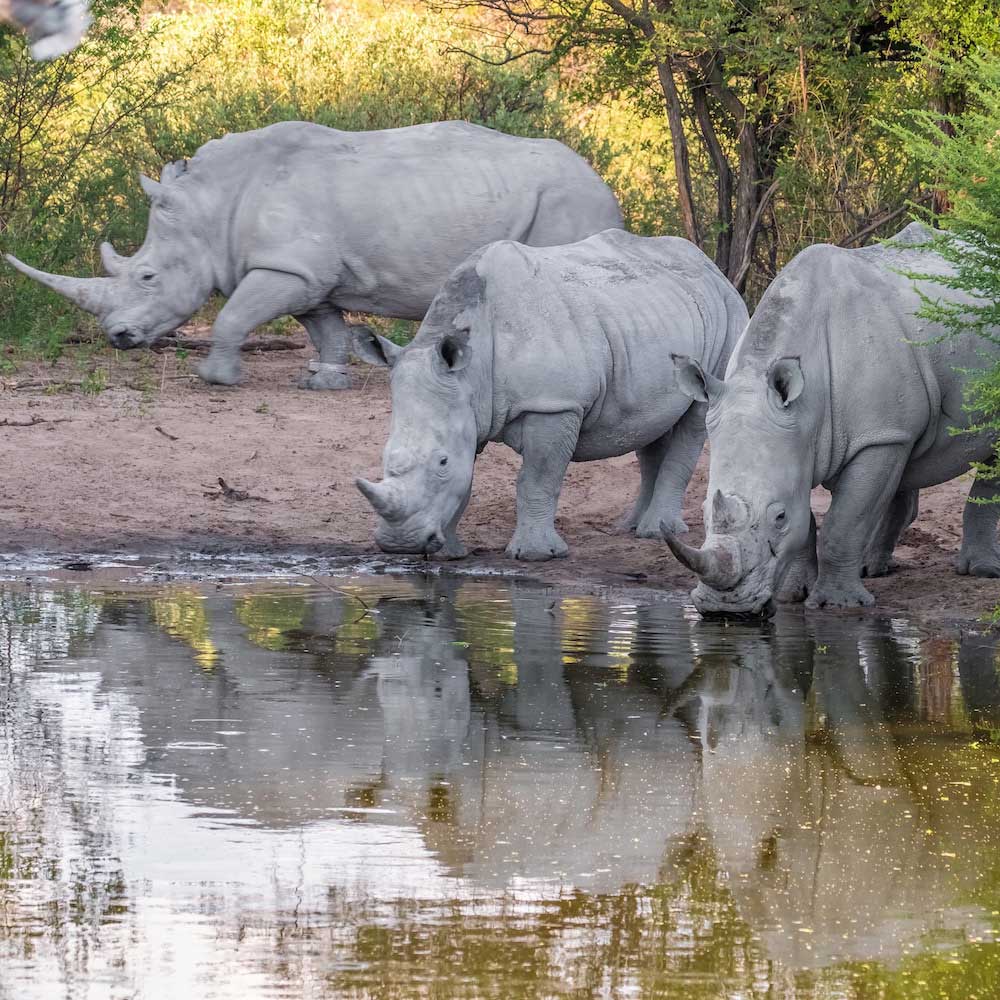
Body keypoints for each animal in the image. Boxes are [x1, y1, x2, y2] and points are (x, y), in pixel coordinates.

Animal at [5, 120, 622, 390]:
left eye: (148, 276)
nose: (117, 338)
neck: (210, 210)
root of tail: (601, 179)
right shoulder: (308, 273)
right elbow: (325, 326)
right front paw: (325, 380)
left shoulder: (287, 265)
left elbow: (234, 315)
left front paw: (216, 378)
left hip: (567, 201)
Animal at [353, 229, 748, 561]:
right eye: (384, 457)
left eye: (441, 462)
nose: (399, 544)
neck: (471, 369)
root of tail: (711, 268)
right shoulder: (467, 407)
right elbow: (466, 482)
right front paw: (450, 554)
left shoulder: (553, 405)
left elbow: (537, 478)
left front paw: (535, 555)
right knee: (650, 427)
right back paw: (630, 527)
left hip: (729, 319)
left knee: (695, 417)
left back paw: (656, 532)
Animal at [667, 222, 1000, 614]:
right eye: (703, 510)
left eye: (778, 518)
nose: (725, 608)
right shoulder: (800, 436)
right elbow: (807, 519)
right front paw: (793, 594)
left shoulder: (876, 437)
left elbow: (844, 522)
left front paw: (838, 605)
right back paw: (872, 569)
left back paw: (980, 572)